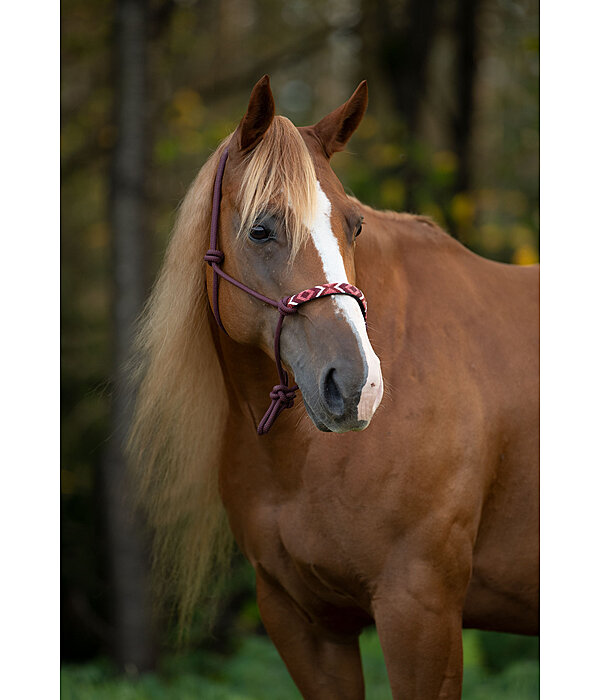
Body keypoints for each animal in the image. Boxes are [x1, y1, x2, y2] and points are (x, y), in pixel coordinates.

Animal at [130, 76, 540, 700]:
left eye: (355, 225)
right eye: (261, 229)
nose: (357, 386)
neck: (301, 461)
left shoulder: (420, 610)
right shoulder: (303, 622)